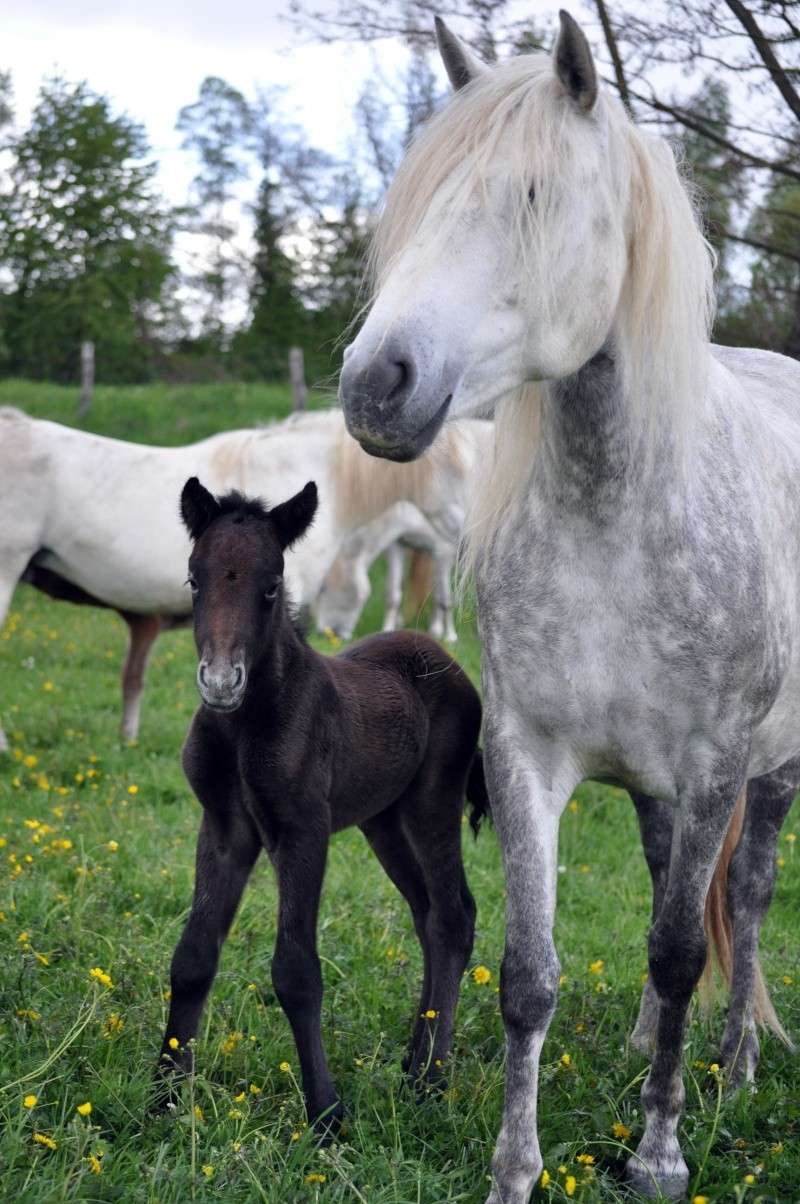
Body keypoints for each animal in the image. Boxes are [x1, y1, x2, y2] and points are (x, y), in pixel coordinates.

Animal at [339, 11, 800, 1204]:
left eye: (534, 196)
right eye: (417, 202)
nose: (374, 385)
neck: (615, 519)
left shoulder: (714, 767)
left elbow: (685, 950)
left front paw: (658, 1153)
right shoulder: (525, 760)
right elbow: (528, 975)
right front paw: (514, 1169)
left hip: (771, 774)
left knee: (743, 898)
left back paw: (733, 1065)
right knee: (666, 883)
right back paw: (645, 1043)